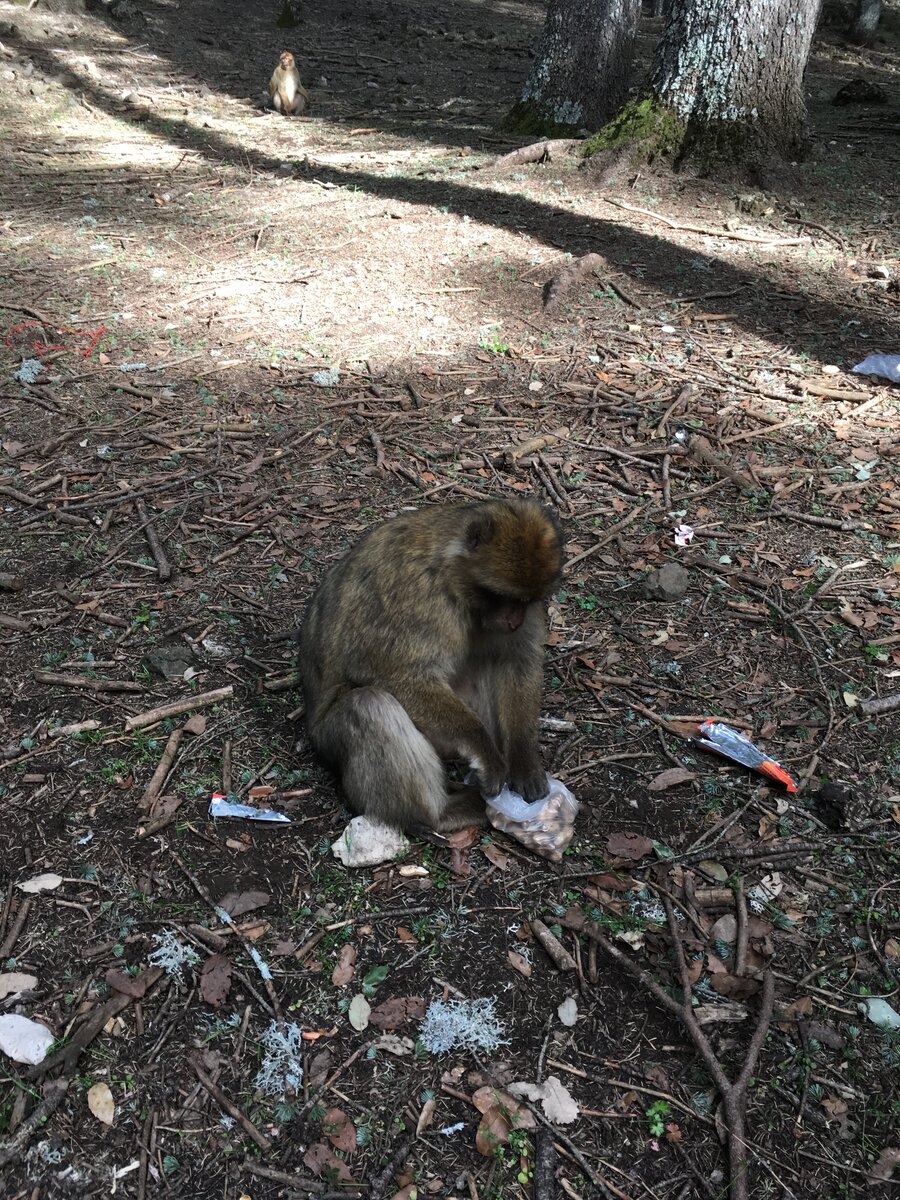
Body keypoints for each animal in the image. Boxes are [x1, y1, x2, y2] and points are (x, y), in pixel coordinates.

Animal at [297, 496, 564, 835]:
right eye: (500, 595)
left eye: (527, 600)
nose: (514, 621)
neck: (453, 578)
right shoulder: (416, 597)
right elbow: (396, 675)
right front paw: (485, 751)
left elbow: (516, 659)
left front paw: (523, 759)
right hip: (328, 740)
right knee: (368, 704)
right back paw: (439, 814)